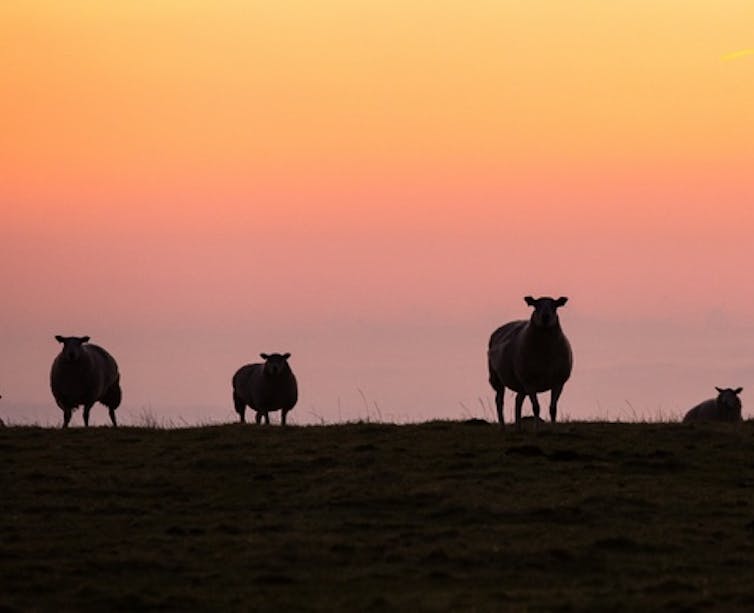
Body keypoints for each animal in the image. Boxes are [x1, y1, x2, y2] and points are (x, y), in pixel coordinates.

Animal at [487, 296, 573, 428]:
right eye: (536, 305)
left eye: (555, 306)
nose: (545, 317)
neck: (545, 355)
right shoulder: (530, 383)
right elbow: (536, 408)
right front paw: (536, 429)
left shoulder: (558, 382)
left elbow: (553, 409)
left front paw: (554, 428)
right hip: (497, 378)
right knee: (499, 401)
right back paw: (502, 427)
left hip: (521, 384)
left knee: (518, 400)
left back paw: (518, 427)